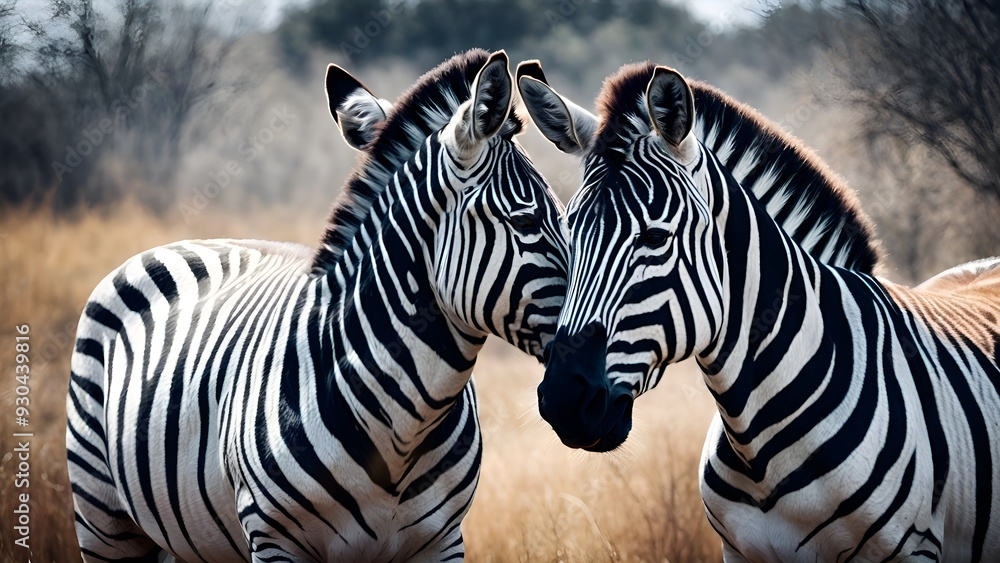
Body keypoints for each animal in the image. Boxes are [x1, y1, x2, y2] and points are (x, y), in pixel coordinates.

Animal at [520, 62, 1000, 561]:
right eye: (569, 235)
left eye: (655, 238)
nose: (563, 400)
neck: (759, 450)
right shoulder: (740, 550)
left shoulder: (909, 547)